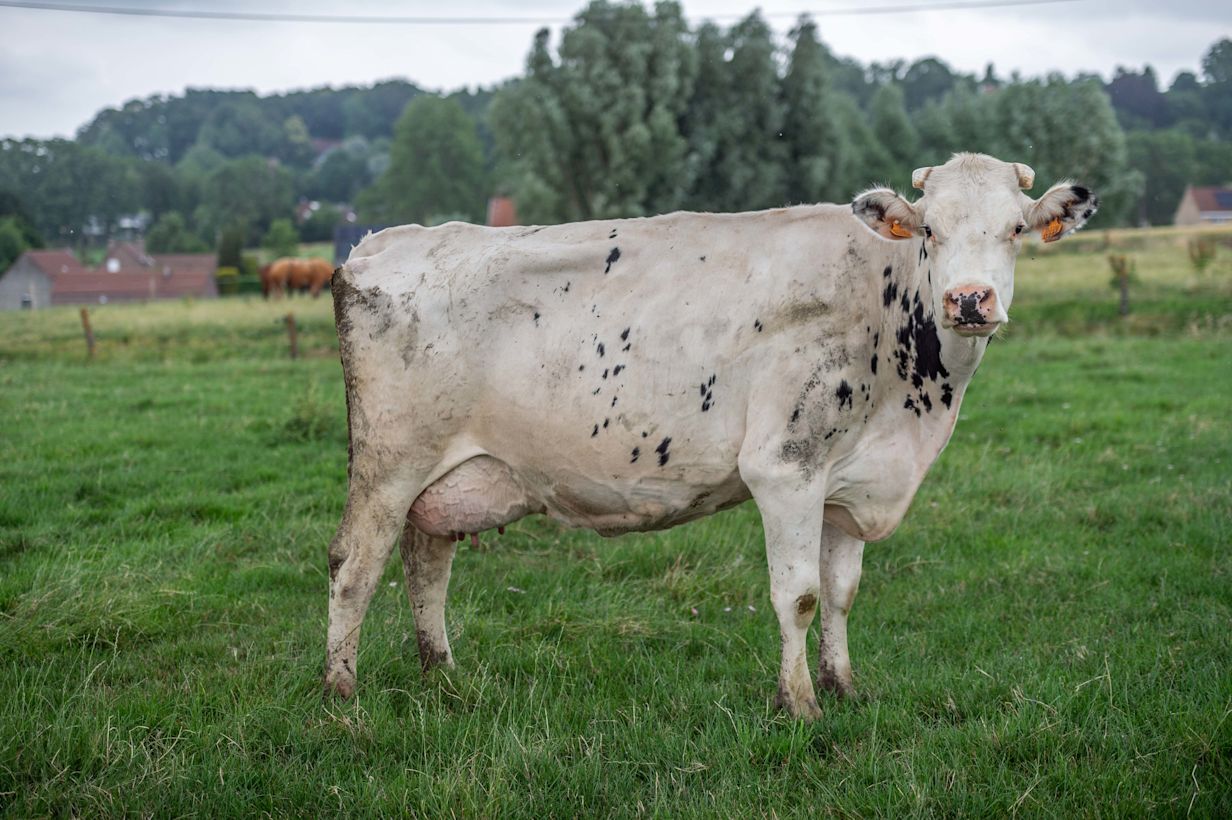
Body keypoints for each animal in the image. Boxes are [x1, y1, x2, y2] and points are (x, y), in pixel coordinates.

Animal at [322, 153, 1097, 718]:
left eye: (1015, 230)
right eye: (930, 230)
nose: (969, 300)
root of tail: (384, 242)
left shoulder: (850, 481)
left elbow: (841, 593)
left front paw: (844, 687)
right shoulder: (784, 468)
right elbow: (799, 595)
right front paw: (801, 705)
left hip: (445, 477)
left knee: (427, 561)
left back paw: (443, 674)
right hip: (390, 463)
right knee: (354, 566)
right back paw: (341, 696)